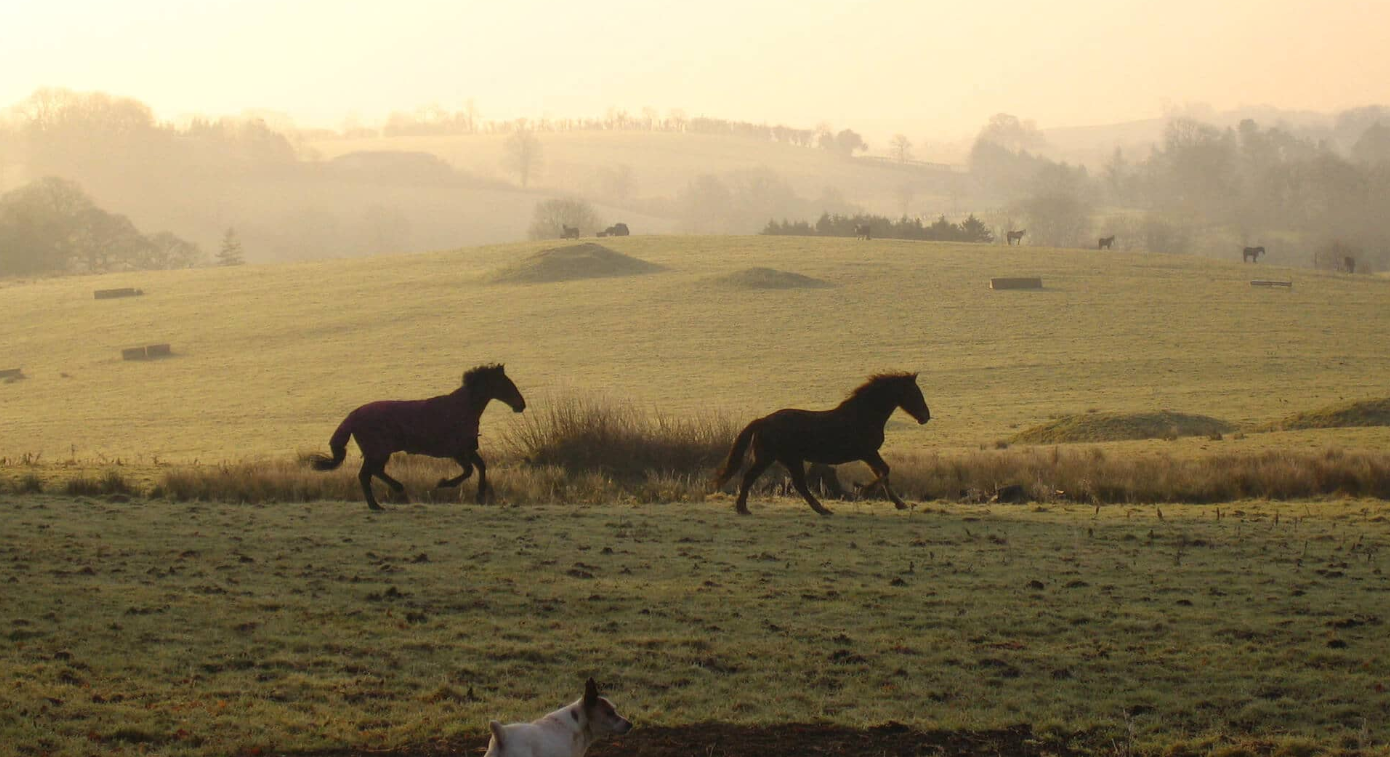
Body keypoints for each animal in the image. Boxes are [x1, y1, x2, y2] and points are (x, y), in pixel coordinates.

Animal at [308, 364, 526, 510]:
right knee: (366, 475)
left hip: (378, 453)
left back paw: (391, 492)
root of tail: (353, 416)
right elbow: (470, 470)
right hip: (378, 452)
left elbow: (480, 467)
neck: (462, 408)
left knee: (373, 472)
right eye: (506, 384)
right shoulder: (458, 451)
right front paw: (444, 483)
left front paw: (480, 495)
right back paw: (380, 502)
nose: (521, 405)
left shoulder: (467, 449)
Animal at [713, 372, 931, 516]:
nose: (925, 417)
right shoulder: (868, 452)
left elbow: (883, 473)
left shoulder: (869, 454)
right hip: (773, 458)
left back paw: (821, 509)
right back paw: (743, 509)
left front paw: (899, 504)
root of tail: (763, 421)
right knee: (754, 477)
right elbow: (884, 471)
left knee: (798, 484)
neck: (863, 416)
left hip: (788, 459)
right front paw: (862, 490)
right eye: (914, 393)